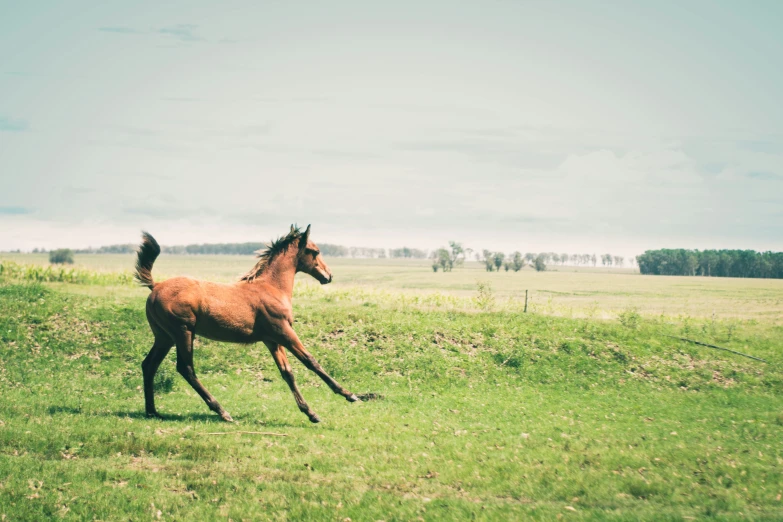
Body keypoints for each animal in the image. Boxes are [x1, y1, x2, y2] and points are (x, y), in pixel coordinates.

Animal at [136, 223, 360, 422]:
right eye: (315, 251)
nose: (328, 276)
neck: (271, 288)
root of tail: (156, 286)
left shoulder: (272, 340)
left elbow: (287, 373)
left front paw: (310, 413)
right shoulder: (284, 332)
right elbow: (310, 361)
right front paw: (350, 395)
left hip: (164, 337)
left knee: (149, 365)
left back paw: (152, 412)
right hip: (183, 332)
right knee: (186, 368)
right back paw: (222, 412)